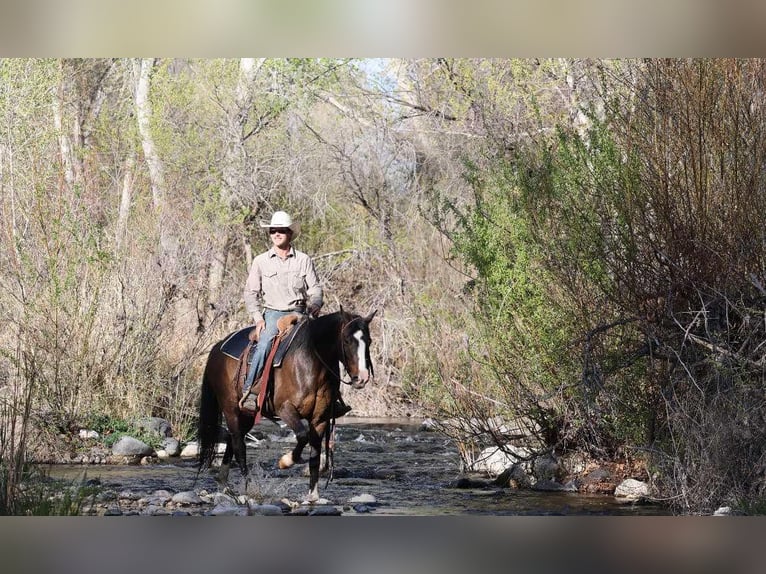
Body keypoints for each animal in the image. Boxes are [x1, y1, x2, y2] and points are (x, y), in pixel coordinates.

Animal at [197, 307, 377, 502]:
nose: (362, 378)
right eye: (346, 340)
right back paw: (247, 489)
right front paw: (286, 461)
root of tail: (217, 348)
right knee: (239, 446)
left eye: (369, 341)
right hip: (231, 409)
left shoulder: (320, 418)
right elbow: (302, 436)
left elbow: (315, 457)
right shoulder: (285, 409)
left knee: (232, 440)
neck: (310, 362)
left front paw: (313, 495)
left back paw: (224, 483)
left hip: (247, 415)